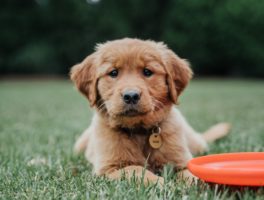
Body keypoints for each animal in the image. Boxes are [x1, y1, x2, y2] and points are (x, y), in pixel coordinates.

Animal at [70, 38, 231, 185]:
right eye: (113, 73)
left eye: (147, 72)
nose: (131, 96)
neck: (139, 131)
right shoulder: (109, 168)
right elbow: (136, 170)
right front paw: (161, 183)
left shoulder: (180, 161)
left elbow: (190, 172)